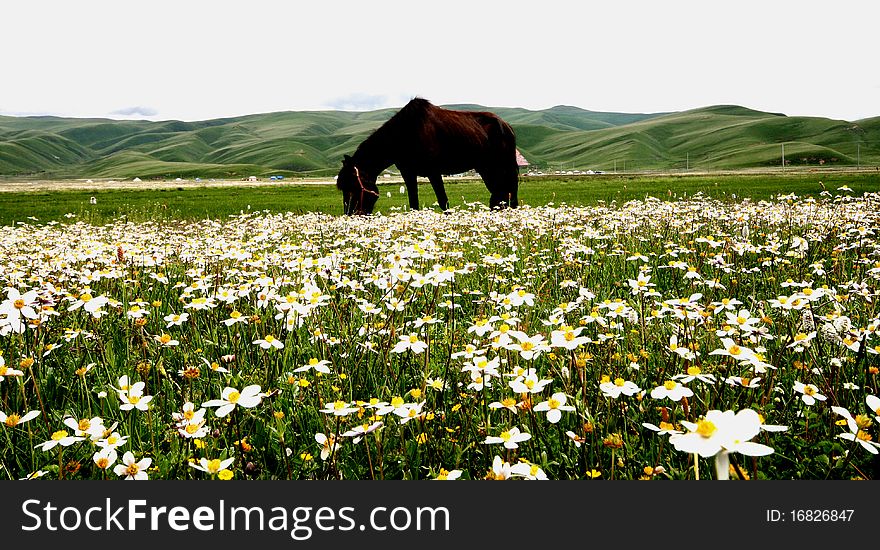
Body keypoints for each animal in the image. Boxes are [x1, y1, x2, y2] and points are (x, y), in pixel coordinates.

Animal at [336, 98, 516, 215]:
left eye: (353, 187)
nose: (351, 215)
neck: (406, 133)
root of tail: (506, 126)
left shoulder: (434, 172)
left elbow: (444, 202)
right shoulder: (408, 173)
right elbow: (414, 204)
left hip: (503, 167)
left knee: (509, 193)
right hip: (486, 168)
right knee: (499, 194)